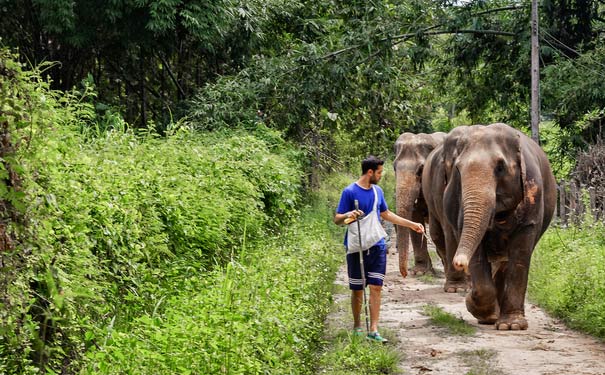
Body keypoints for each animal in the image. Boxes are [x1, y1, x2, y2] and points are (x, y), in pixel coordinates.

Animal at [422, 123, 556, 328]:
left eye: (500, 168)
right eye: (458, 169)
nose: (459, 263)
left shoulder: (533, 194)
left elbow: (520, 253)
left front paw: (512, 326)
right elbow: (476, 253)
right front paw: (480, 310)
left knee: (505, 262)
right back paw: (492, 316)